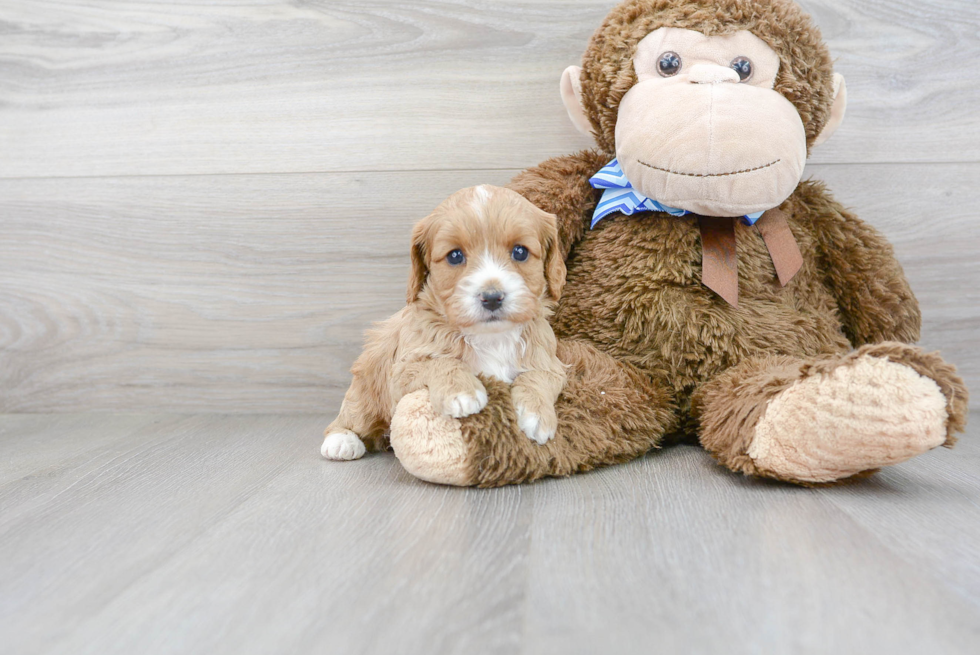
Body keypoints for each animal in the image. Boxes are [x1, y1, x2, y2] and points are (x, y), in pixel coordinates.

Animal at [322, 184, 568, 462]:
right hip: (366, 391)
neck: (490, 337)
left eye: (520, 251)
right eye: (455, 256)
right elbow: (441, 361)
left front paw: (537, 415)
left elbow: (540, 376)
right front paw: (461, 392)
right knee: (350, 417)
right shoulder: (402, 370)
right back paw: (341, 441)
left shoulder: (550, 360)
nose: (492, 297)